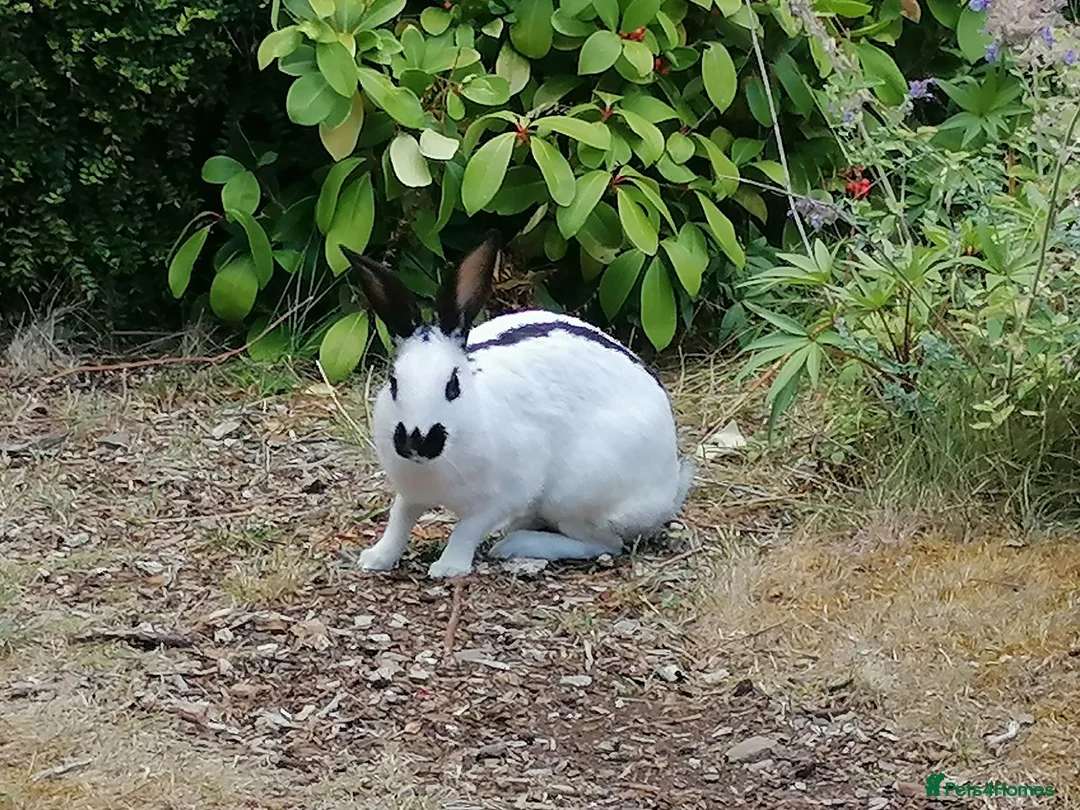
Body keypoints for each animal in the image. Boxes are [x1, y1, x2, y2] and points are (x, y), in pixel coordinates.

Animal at [340, 230, 694, 579]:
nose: (417, 441)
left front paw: (448, 567)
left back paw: (514, 544)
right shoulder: (411, 494)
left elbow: (466, 530)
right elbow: (399, 519)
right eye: (393, 382)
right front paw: (376, 558)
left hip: (575, 495)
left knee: (603, 543)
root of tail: (667, 490)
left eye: (453, 386)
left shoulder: (504, 496)